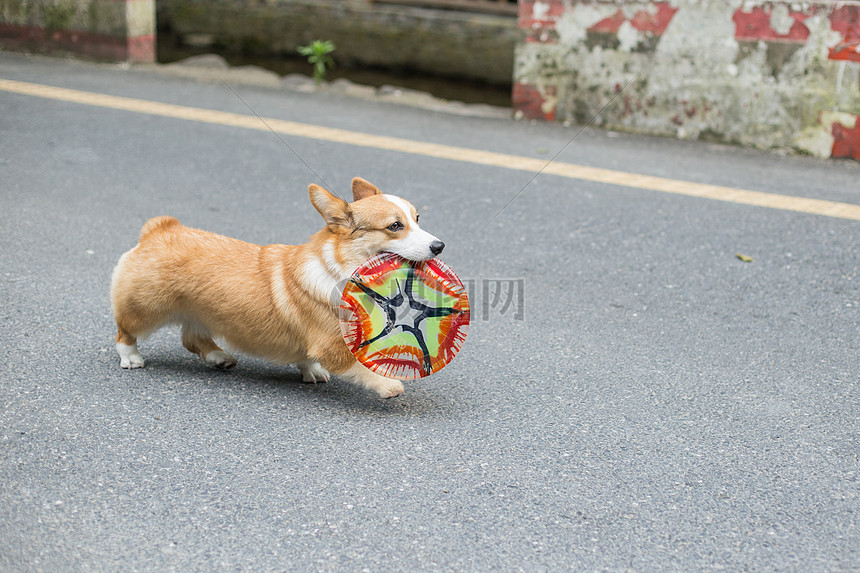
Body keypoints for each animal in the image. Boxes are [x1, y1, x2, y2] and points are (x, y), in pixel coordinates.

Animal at [109, 179, 444, 398]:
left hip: (200, 312)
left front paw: (310, 370)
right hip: (146, 308)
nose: (439, 246)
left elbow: (307, 356)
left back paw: (219, 356)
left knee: (192, 338)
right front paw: (388, 385)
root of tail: (159, 229)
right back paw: (132, 357)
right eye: (395, 226)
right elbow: (357, 365)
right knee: (125, 331)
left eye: (417, 218)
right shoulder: (331, 345)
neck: (340, 266)